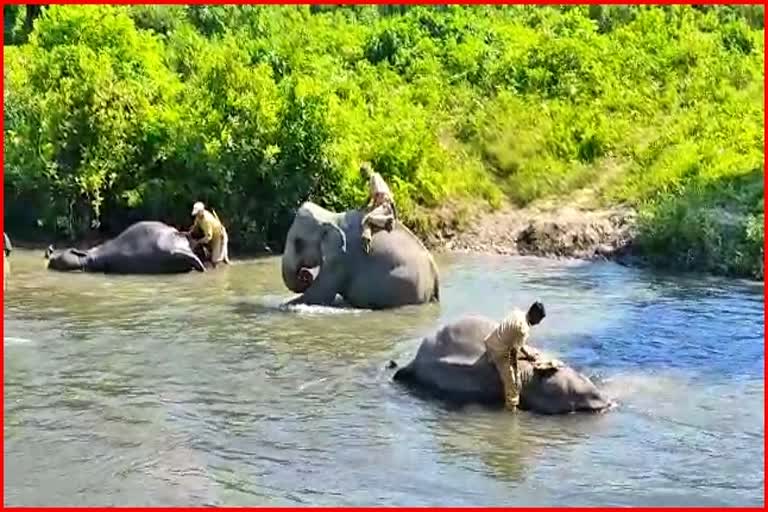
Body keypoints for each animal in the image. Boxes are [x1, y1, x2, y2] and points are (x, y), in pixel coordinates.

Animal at [280, 202, 438, 310]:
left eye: (298, 243)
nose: (305, 276)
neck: (331, 216)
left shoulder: (342, 257)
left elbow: (319, 295)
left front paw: (282, 306)